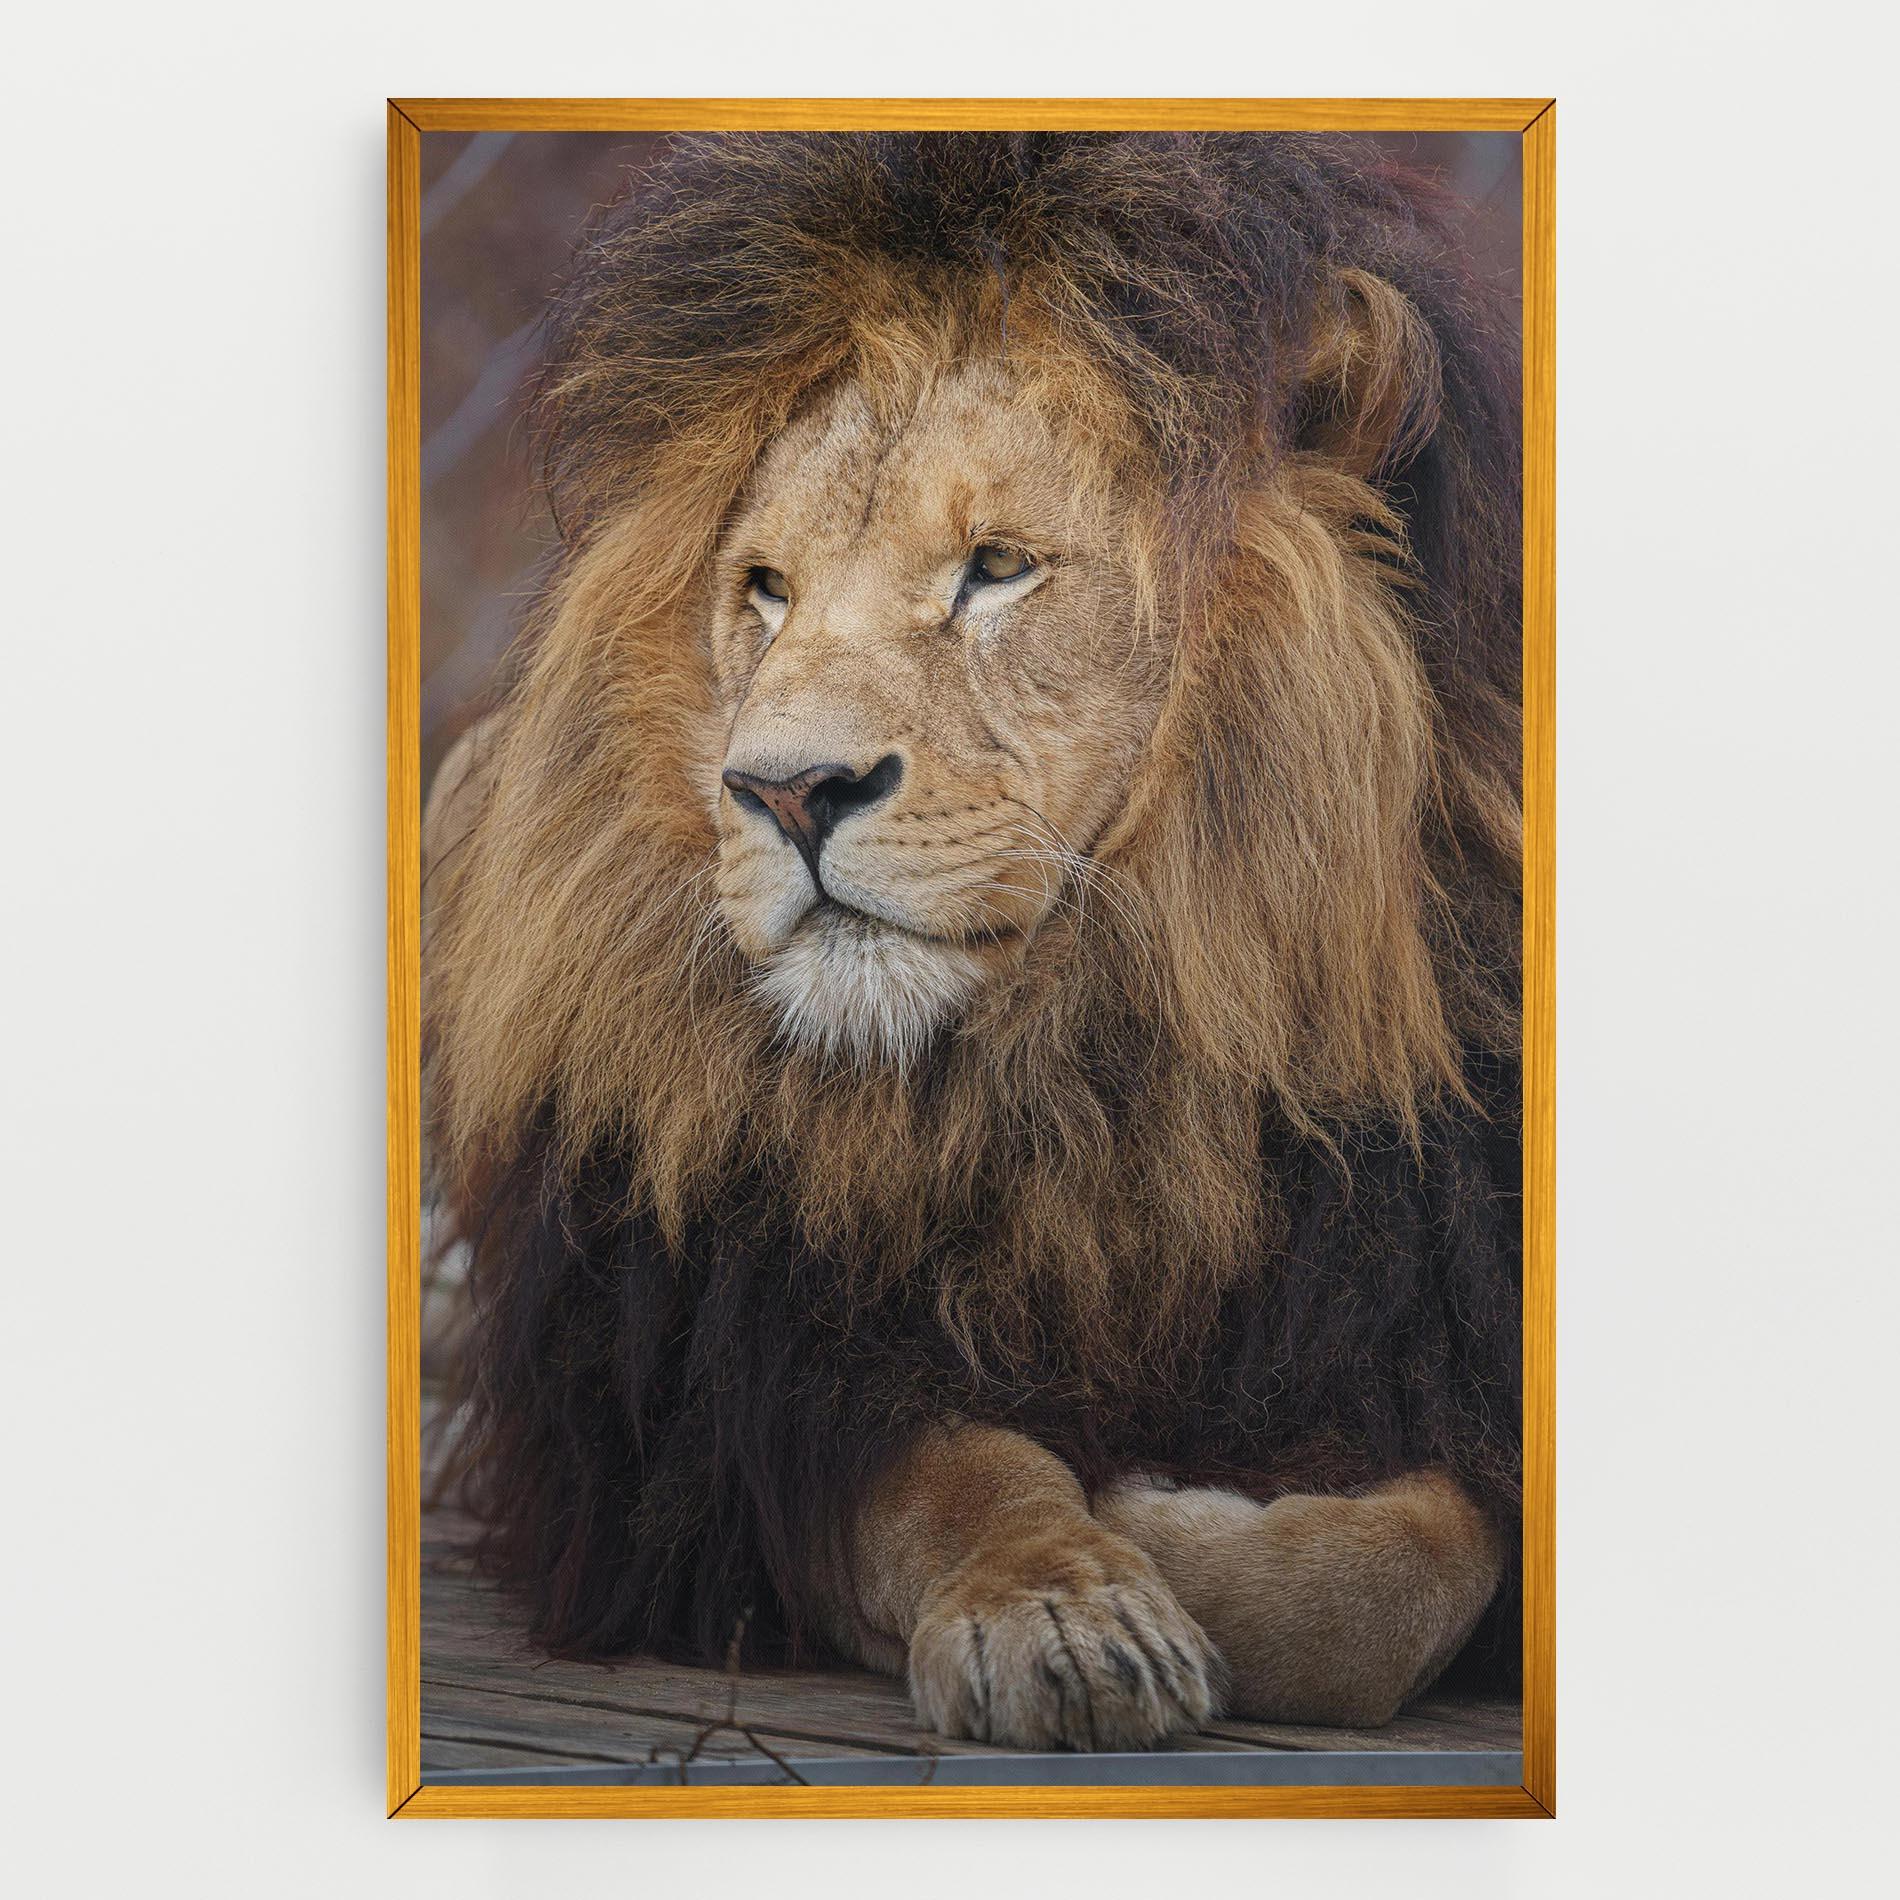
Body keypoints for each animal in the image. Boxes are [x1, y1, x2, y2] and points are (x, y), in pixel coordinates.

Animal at [425, 131, 1524, 1750]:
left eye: (998, 568)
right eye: (765, 591)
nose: (783, 790)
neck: (1088, 1073)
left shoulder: (1420, 1325)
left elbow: (1402, 1580)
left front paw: (1176, 1514)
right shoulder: (733, 1400)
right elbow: (957, 1481)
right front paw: (1069, 1604)